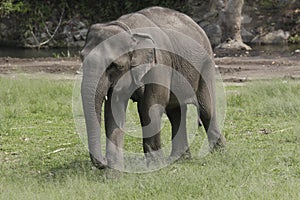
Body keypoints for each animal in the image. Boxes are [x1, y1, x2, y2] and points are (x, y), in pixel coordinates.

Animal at [79, 6, 225, 170]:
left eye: (113, 66)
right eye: (82, 59)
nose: (103, 162)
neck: (128, 31)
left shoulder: (159, 63)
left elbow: (148, 107)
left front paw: (156, 165)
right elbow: (113, 110)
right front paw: (114, 169)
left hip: (206, 65)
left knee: (206, 109)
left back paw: (220, 152)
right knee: (176, 112)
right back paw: (179, 159)